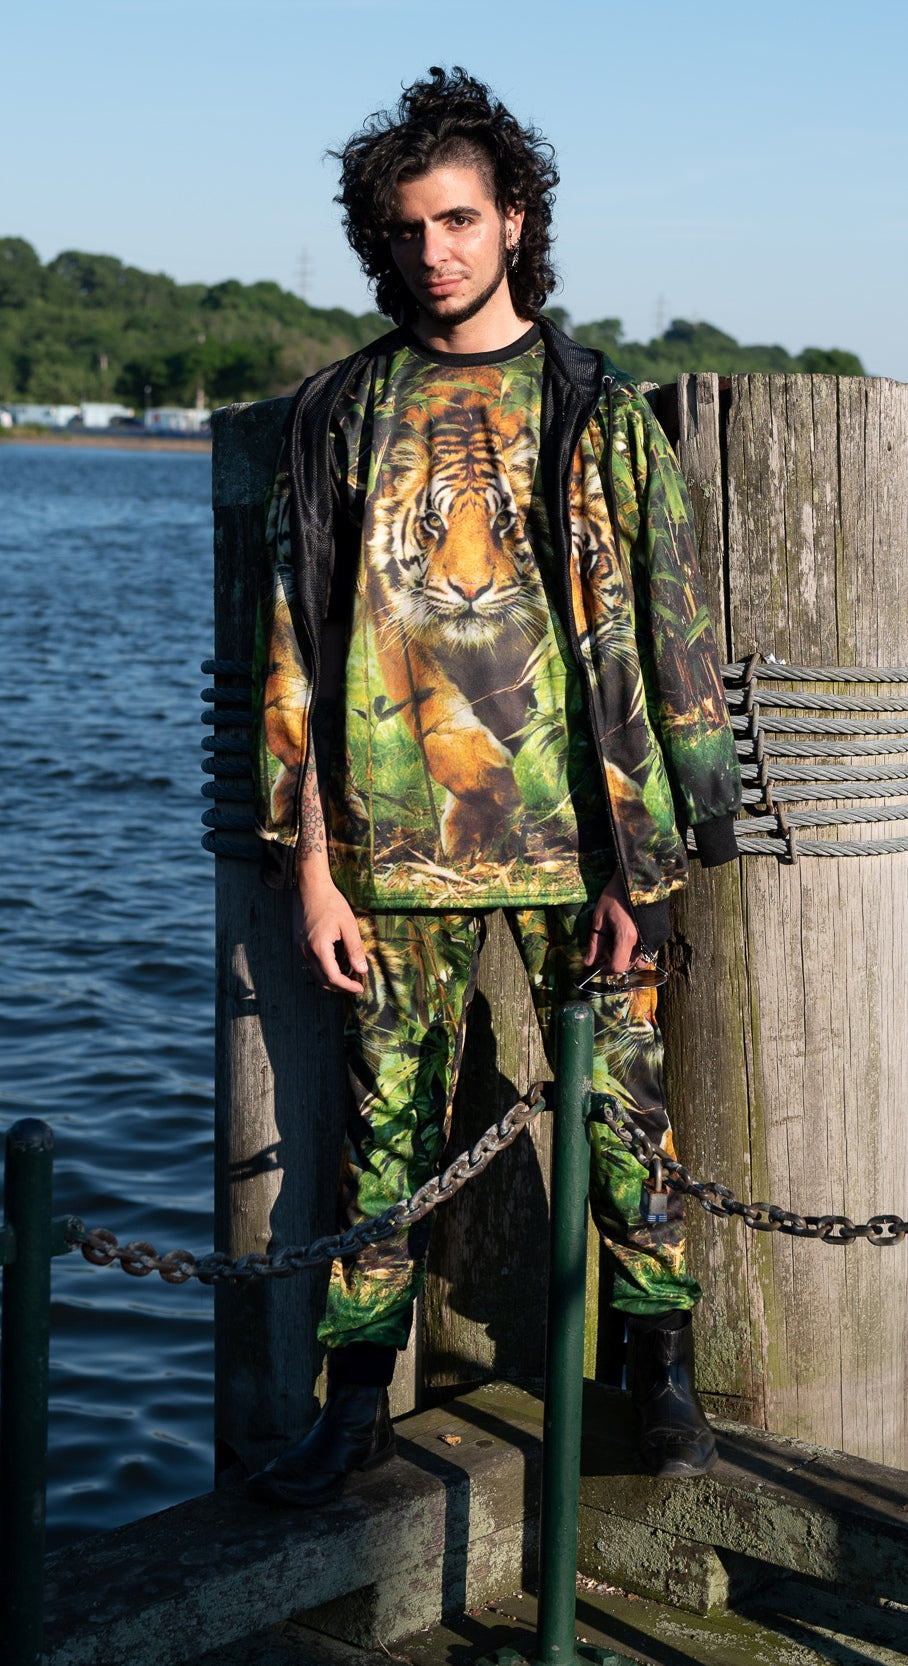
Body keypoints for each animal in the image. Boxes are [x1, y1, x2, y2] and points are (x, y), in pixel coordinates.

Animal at [366, 393, 548, 862]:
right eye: (434, 521)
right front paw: (494, 785)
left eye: (503, 521)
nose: (470, 589)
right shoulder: (396, 626)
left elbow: (506, 715)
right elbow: (434, 714)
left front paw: (476, 825)